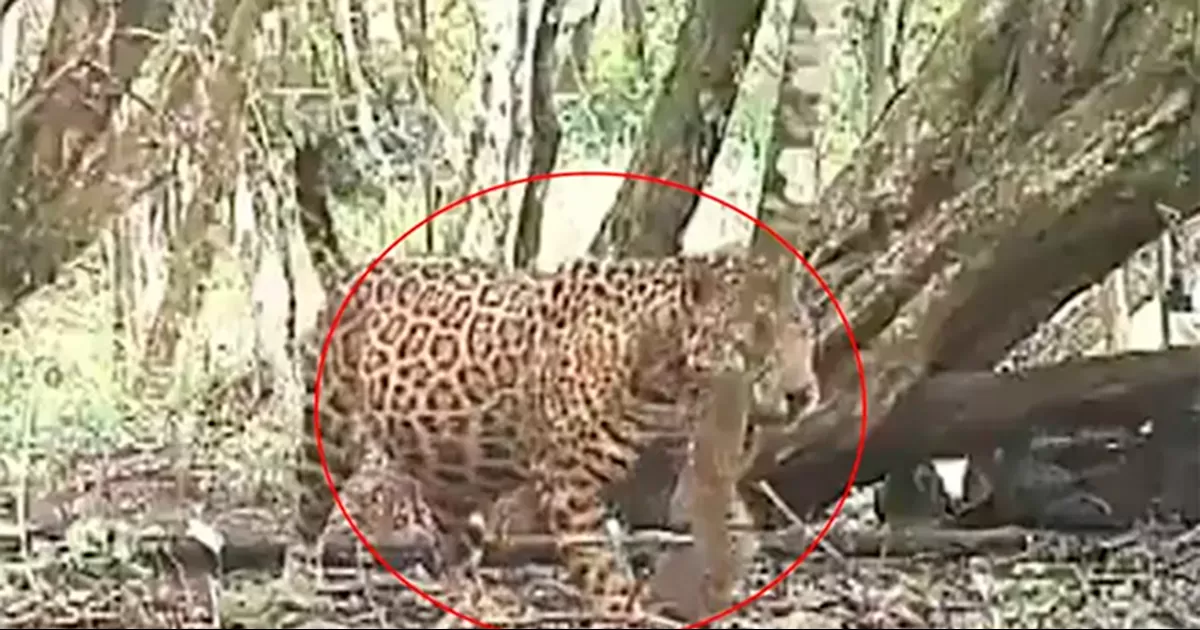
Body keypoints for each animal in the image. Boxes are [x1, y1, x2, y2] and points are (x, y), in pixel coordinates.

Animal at [291, 251, 821, 620]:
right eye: (751, 337)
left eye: (804, 332)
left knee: (456, 543)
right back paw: (296, 583)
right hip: (329, 428)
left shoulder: (680, 454)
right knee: (307, 510)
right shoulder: (570, 483)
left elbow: (720, 514)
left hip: (451, 467)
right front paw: (625, 610)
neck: (663, 369)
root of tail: (354, 271)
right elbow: (600, 566)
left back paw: (475, 604)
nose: (802, 394)